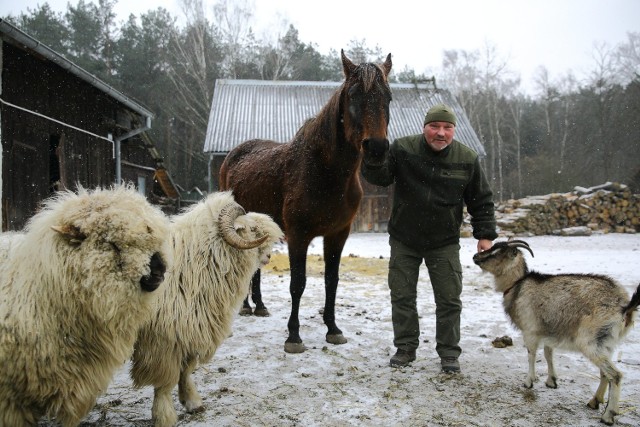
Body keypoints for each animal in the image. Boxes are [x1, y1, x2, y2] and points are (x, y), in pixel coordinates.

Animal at [219, 48, 390, 352]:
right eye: (353, 95)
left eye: (389, 97)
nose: (377, 149)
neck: (326, 171)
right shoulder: (298, 235)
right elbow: (297, 283)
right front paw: (294, 336)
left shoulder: (338, 234)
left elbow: (331, 281)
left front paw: (333, 329)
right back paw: (247, 307)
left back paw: (258, 306)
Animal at [472, 239, 636, 426]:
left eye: (497, 253)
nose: (475, 256)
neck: (518, 286)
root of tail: (625, 307)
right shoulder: (548, 332)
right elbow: (548, 353)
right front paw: (551, 381)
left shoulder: (530, 330)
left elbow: (531, 355)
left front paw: (528, 382)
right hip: (606, 343)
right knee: (605, 373)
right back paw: (594, 401)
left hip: (590, 341)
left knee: (615, 375)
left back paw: (608, 415)